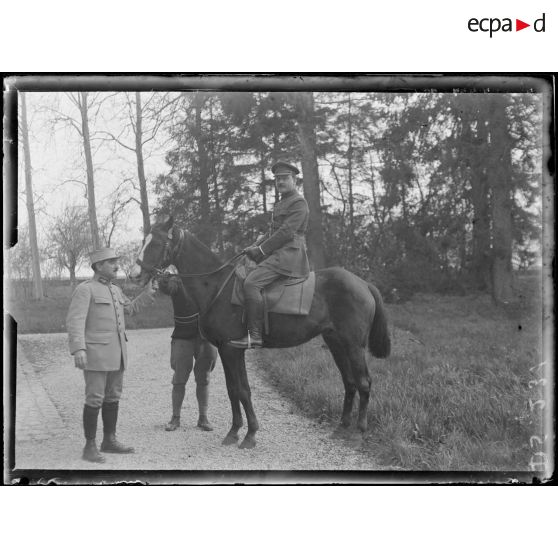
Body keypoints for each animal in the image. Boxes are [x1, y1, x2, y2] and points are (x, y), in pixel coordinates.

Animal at [133, 217, 392, 452]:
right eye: (144, 241)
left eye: (156, 243)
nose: (134, 274)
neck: (217, 286)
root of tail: (363, 284)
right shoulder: (229, 351)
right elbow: (234, 390)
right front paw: (236, 432)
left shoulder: (231, 350)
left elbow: (242, 390)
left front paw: (248, 434)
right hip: (336, 343)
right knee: (349, 382)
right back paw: (342, 428)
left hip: (354, 345)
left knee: (363, 382)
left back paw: (359, 432)